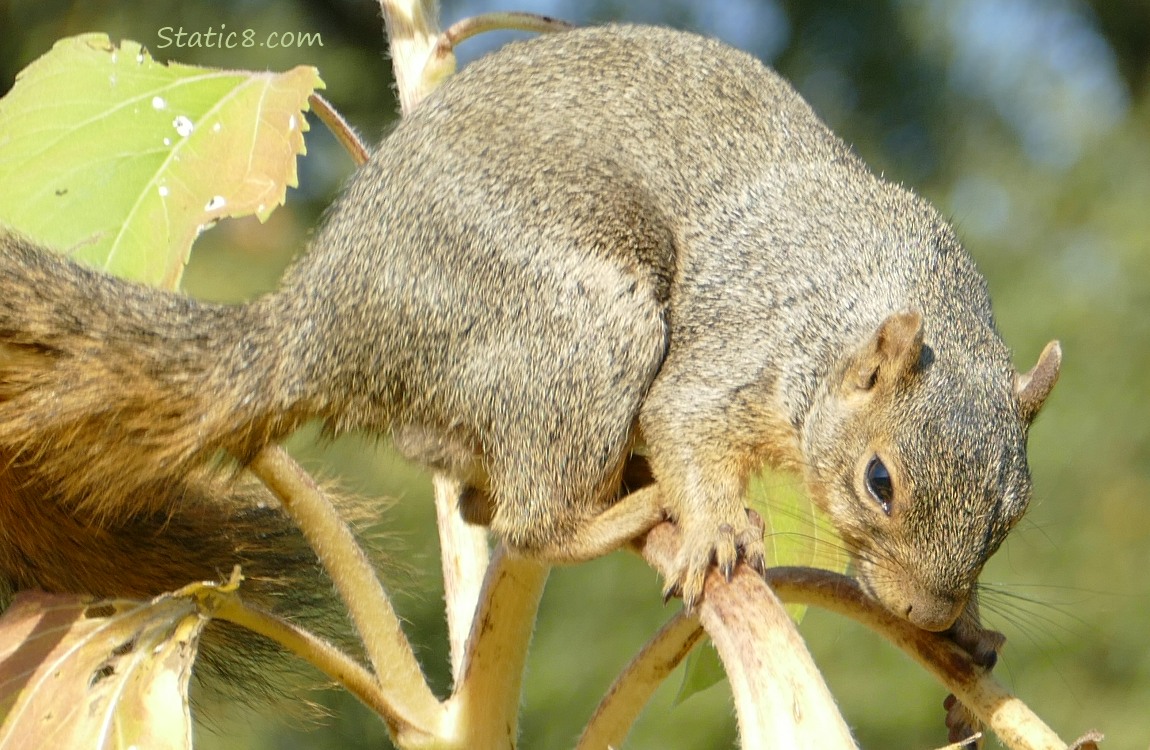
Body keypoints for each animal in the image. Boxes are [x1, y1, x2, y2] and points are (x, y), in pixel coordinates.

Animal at [0, 21, 1058, 639]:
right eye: (879, 481)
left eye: (1012, 516)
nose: (922, 612)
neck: (862, 300)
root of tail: (326, 320)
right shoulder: (738, 348)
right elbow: (684, 421)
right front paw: (717, 524)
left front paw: (970, 626)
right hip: (584, 324)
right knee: (528, 522)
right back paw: (621, 513)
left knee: (482, 500)